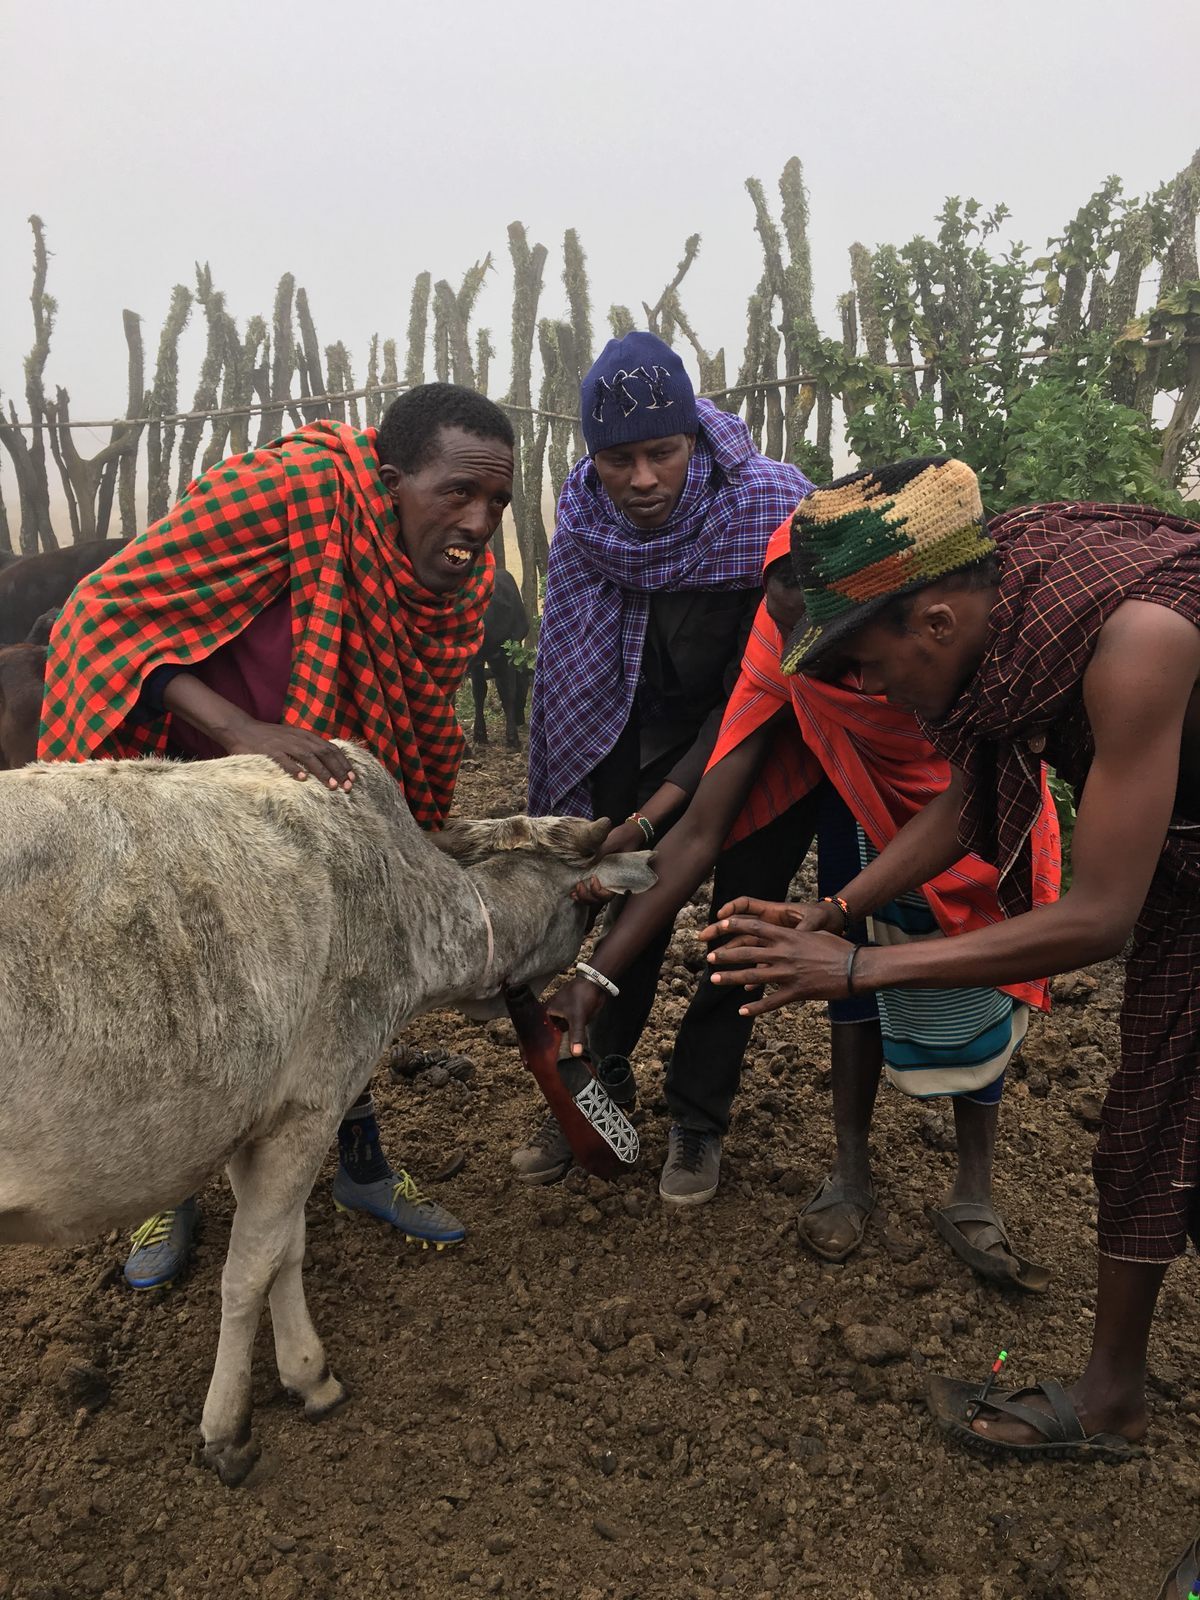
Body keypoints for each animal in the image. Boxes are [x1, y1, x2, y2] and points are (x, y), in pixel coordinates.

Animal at [0, 748, 659, 1484]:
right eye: (586, 913)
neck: (410, 906)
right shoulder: (312, 1105)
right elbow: (251, 1269)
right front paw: (228, 1430)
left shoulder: (258, 1120)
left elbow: (287, 1249)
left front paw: (308, 1376)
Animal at [473, 572, 534, 752]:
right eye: (525, 685)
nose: (521, 720)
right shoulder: (505, 654)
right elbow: (508, 692)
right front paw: (513, 739)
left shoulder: (480, 660)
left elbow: (479, 691)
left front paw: (480, 735)